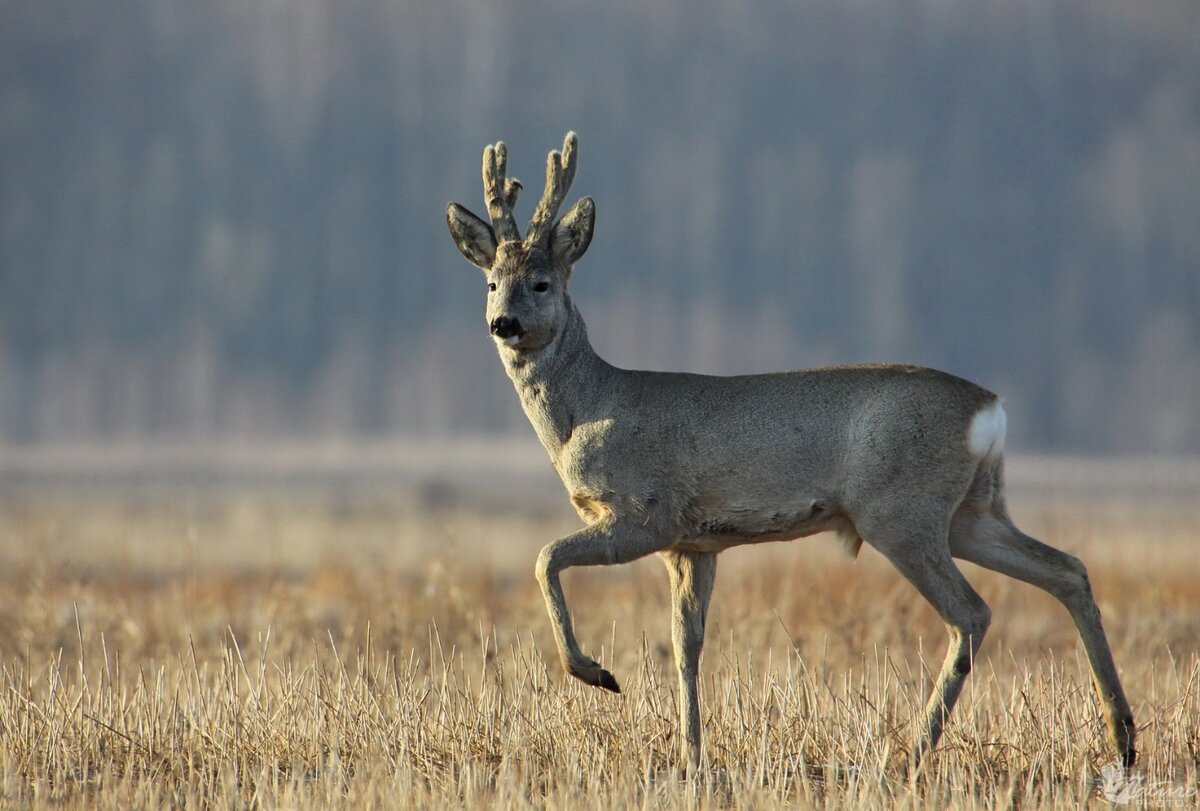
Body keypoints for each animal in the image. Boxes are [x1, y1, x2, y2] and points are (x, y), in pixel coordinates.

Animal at [444, 131, 1132, 772]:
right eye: (490, 282)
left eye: (540, 282)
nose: (502, 323)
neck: (587, 411)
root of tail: (990, 410)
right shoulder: (693, 544)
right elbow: (686, 645)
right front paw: (692, 756)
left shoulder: (646, 513)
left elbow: (545, 559)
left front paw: (597, 674)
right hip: (971, 511)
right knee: (1067, 570)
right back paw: (1122, 740)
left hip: (901, 512)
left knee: (973, 612)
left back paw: (912, 753)